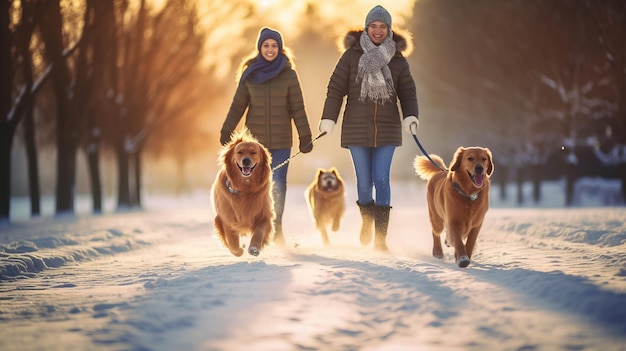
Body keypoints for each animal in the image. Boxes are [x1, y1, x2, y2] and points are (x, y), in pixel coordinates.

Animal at [210, 128, 272, 258]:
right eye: (239, 152)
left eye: (253, 152)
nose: (246, 160)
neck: (245, 189)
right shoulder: (226, 218)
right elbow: (231, 239)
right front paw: (238, 251)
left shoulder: (264, 215)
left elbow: (259, 232)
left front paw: (254, 248)